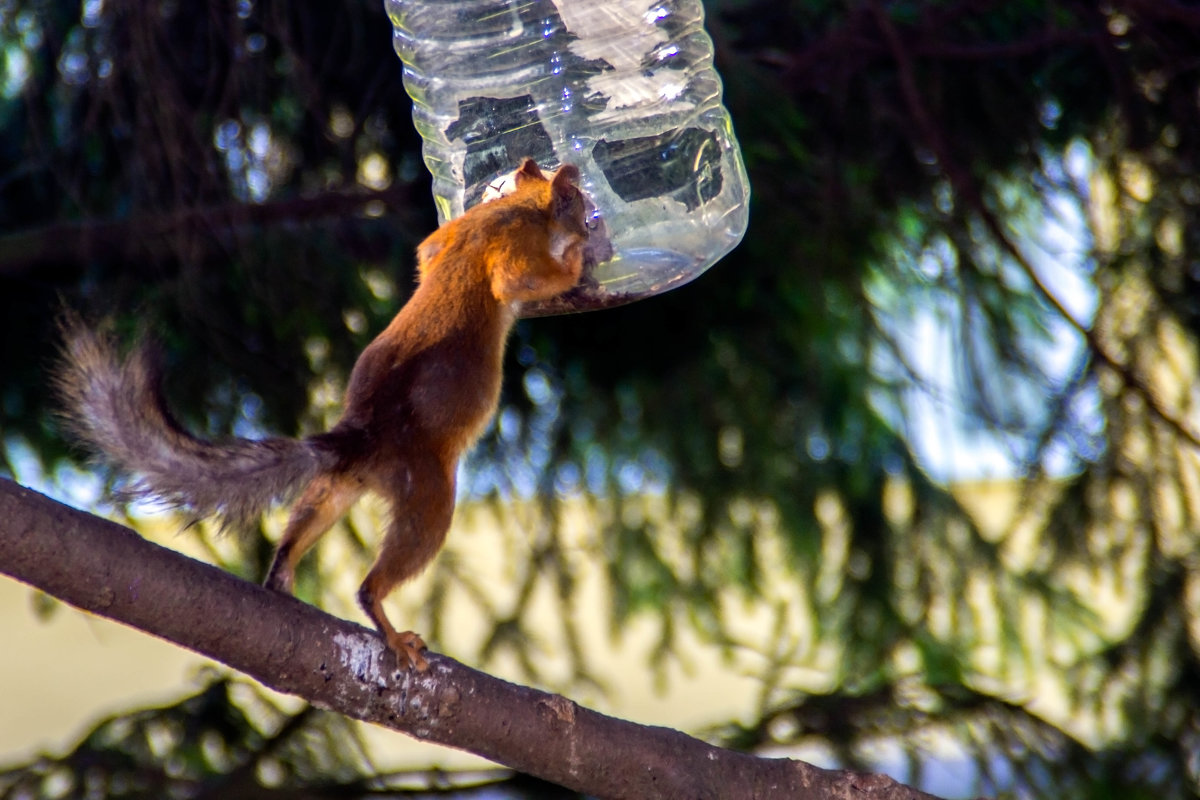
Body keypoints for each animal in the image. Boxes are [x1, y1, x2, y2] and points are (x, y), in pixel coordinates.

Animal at [58, 159, 592, 671]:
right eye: (578, 202)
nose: (590, 224)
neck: (518, 209)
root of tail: (363, 439)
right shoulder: (513, 249)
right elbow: (519, 279)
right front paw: (575, 263)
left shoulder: (446, 240)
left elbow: (426, 252)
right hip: (426, 494)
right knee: (379, 577)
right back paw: (391, 632)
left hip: (339, 487)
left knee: (304, 527)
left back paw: (283, 578)